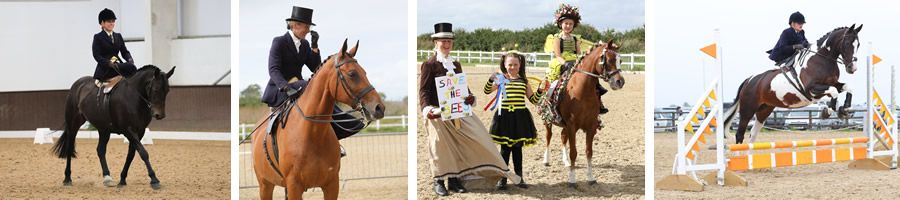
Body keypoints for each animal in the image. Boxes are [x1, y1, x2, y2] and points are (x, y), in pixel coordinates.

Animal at [250, 39, 384, 200]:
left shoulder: (331, 185)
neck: (313, 134)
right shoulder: (294, 186)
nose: (379, 108)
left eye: (364, 72)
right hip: (265, 184)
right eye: (352, 74)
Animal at [536, 38, 624, 188]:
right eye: (609, 59)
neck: (583, 92)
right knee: (549, 137)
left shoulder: (591, 126)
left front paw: (591, 178)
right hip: (548, 120)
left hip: (564, 125)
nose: (620, 82)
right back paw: (546, 160)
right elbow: (574, 152)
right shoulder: (572, 126)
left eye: (621, 60)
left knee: (562, 137)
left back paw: (565, 161)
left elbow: (589, 152)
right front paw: (572, 180)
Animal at [724, 24, 864, 146]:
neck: (823, 59)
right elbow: (834, 91)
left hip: (764, 109)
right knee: (740, 135)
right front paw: (828, 112)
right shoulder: (812, 89)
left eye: (858, 45)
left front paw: (844, 108)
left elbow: (848, 87)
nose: (852, 68)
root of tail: (749, 80)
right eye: (847, 43)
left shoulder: (832, 84)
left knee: (753, 134)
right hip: (747, 110)